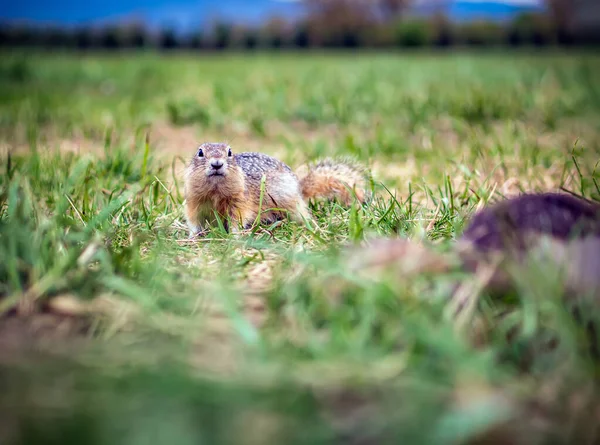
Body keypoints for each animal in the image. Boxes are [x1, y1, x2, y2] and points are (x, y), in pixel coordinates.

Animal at [183, 142, 370, 236]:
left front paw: (234, 236)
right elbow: (194, 222)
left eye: (229, 152)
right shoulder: (194, 203)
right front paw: (193, 237)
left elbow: (237, 220)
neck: (215, 191)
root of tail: (299, 188)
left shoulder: (239, 202)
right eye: (200, 152)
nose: (216, 163)